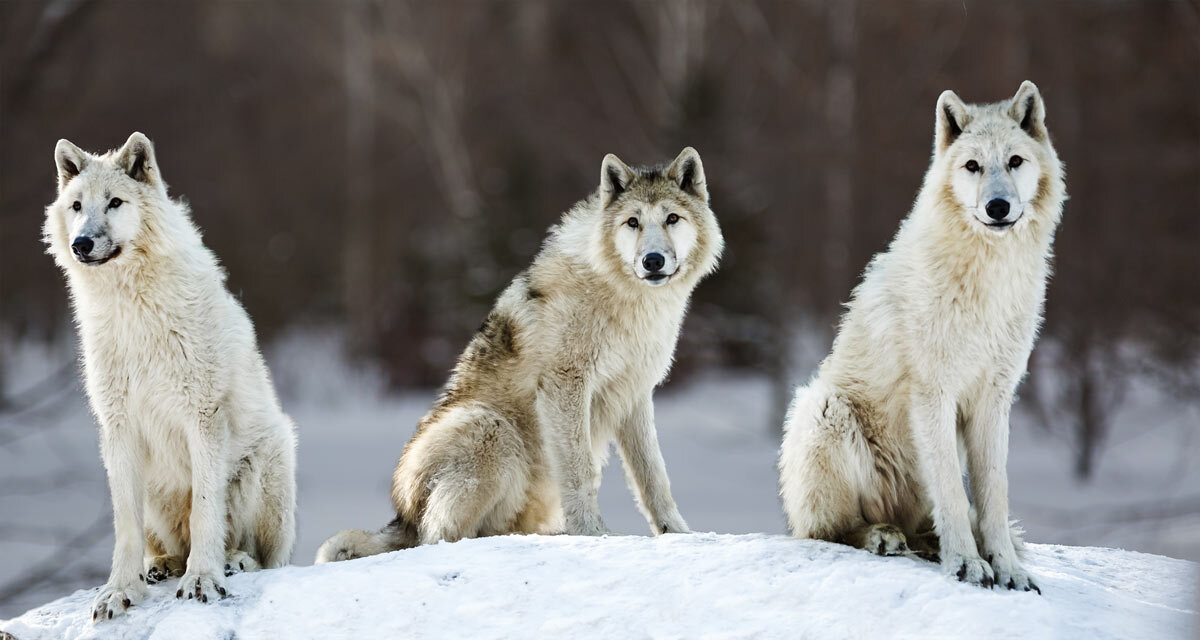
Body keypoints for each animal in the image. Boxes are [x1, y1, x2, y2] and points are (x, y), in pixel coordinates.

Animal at [46, 132, 300, 614]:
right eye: (77, 206)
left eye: (115, 202)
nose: (82, 244)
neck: (132, 308)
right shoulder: (118, 426)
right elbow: (124, 528)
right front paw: (119, 590)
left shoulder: (203, 416)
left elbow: (204, 511)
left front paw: (204, 579)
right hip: (154, 491)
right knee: (170, 548)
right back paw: (160, 566)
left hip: (264, 461)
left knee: (264, 557)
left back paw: (232, 561)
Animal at [314, 148, 720, 559]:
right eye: (632, 222)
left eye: (672, 218)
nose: (652, 260)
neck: (626, 299)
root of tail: (402, 519)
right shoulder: (565, 384)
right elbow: (581, 471)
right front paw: (593, 533)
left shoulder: (635, 393)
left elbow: (654, 476)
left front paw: (677, 533)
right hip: (489, 426)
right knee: (441, 536)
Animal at [782, 82, 1065, 590]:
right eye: (972, 166)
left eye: (1015, 161)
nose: (997, 207)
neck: (987, 280)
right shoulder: (934, 393)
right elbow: (953, 491)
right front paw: (968, 564)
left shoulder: (995, 398)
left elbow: (993, 496)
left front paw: (1006, 569)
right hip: (822, 409)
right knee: (830, 530)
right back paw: (882, 536)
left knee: (921, 526)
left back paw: (930, 543)